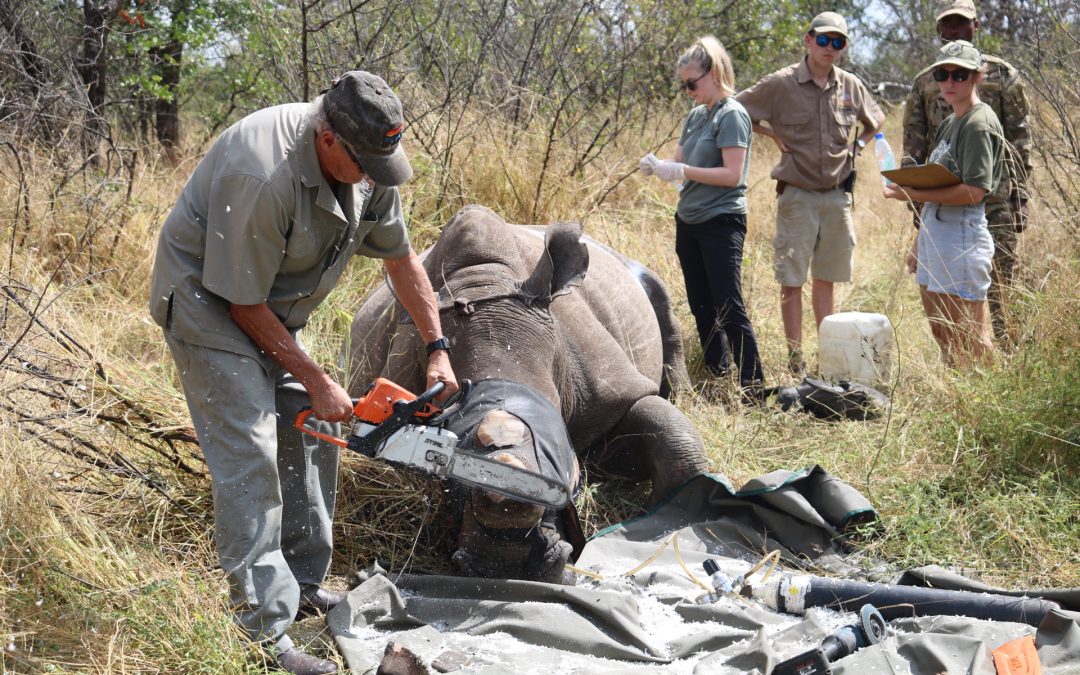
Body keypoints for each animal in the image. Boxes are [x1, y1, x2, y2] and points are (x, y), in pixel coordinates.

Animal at [345, 205, 709, 583]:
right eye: (449, 474)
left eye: (559, 455)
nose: (506, 564)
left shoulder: (612, 388)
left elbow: (672, 436)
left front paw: (669, 524)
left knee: (660, 295)